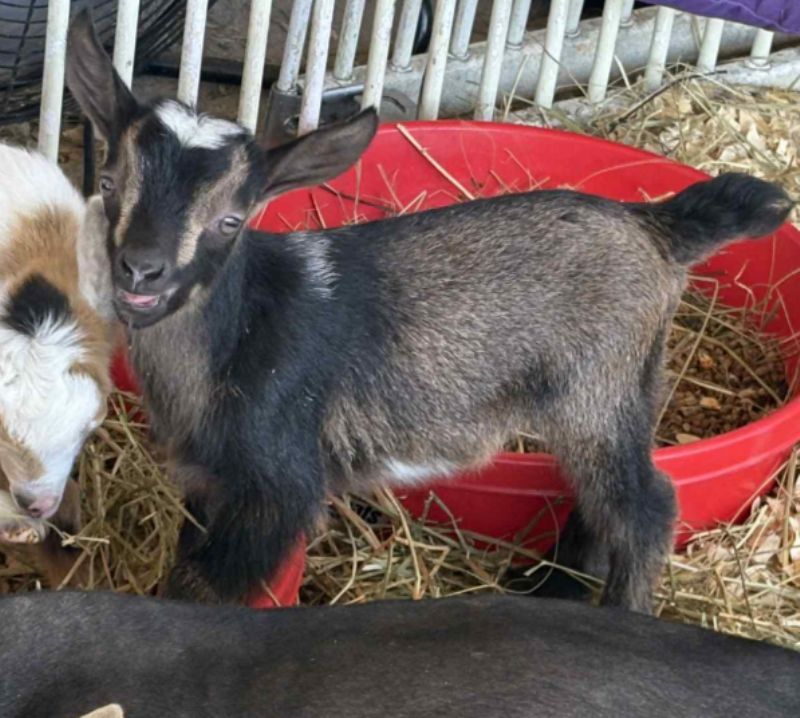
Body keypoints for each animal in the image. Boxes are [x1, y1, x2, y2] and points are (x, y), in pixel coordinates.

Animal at [65, 10, 794, 611]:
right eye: (110, 184)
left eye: (231, 220)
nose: (142, 269)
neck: (238, 336)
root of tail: (656, 225)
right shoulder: (206, 481)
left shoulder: (277, 488)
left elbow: (202, 587)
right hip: (607, 394)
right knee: (600, 505)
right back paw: (544, 588)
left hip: (599, 387)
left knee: (644, 509)